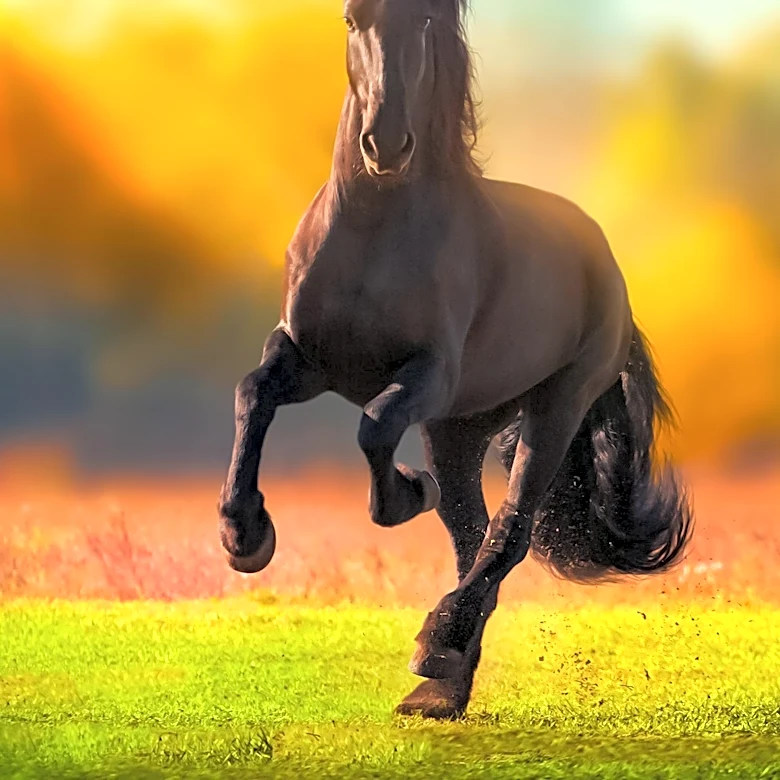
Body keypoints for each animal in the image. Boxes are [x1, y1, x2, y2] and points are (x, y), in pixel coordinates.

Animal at [218, 0, 693, 720]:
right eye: (351, 19)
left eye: (422, 22)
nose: (386, 146)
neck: (374, 232)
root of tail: (601, 255)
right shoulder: (305, 357)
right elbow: (252, 394)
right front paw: (246, 536)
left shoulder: (428, 377)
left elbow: (375, 428)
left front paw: (407, 492)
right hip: (459, 431)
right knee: (470, 536)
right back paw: (440, 689)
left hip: (553, 407)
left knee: (508, 530)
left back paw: (436, 650)